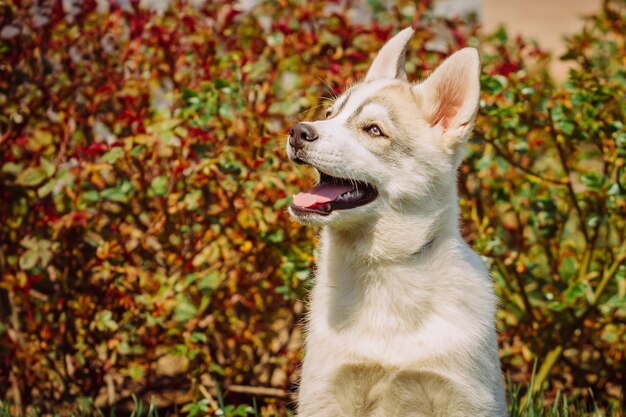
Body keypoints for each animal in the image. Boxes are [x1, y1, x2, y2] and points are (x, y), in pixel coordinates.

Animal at [286, 27, 504, 414]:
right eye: (329, 113)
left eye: (374, 130)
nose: (298, 131)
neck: (383, 268)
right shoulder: (326, 392)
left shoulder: (463, 397)